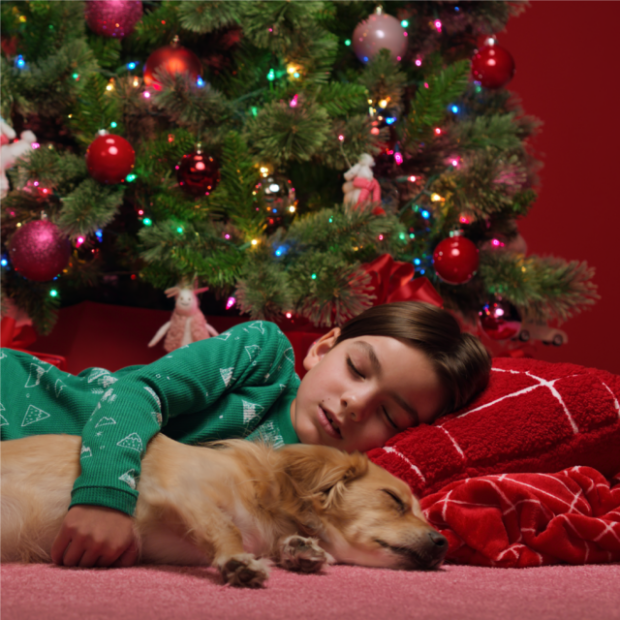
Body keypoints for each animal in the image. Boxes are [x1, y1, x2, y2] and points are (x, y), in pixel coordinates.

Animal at [0, 432, 448, 588]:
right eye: (393, 500)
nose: (444, 542)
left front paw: (300, 550)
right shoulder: (182, 490)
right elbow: (226, 530)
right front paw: (238, 562)